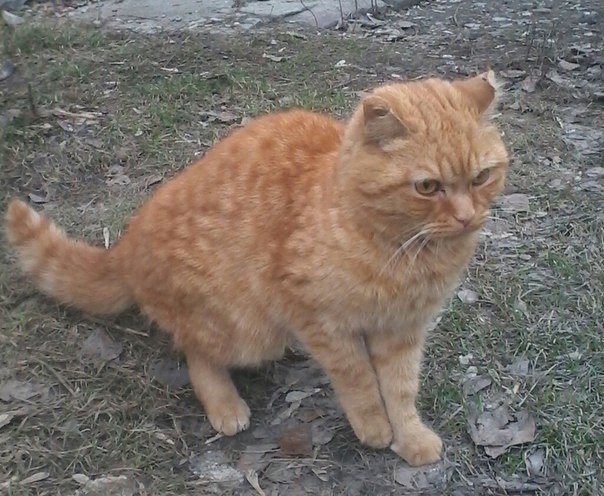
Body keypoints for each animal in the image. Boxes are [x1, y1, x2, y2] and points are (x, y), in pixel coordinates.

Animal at [5, 71, 508, 467]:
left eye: (482, 177)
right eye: (427, 187)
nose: (467, 217)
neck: (403, 249)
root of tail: (125, 246)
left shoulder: (402, 330)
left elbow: (401, 388)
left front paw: (409, 437)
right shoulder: (320, 320)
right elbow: (360, 380)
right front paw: (373, 427)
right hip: (245, 329)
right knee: (195, 352)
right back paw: (224, 403)